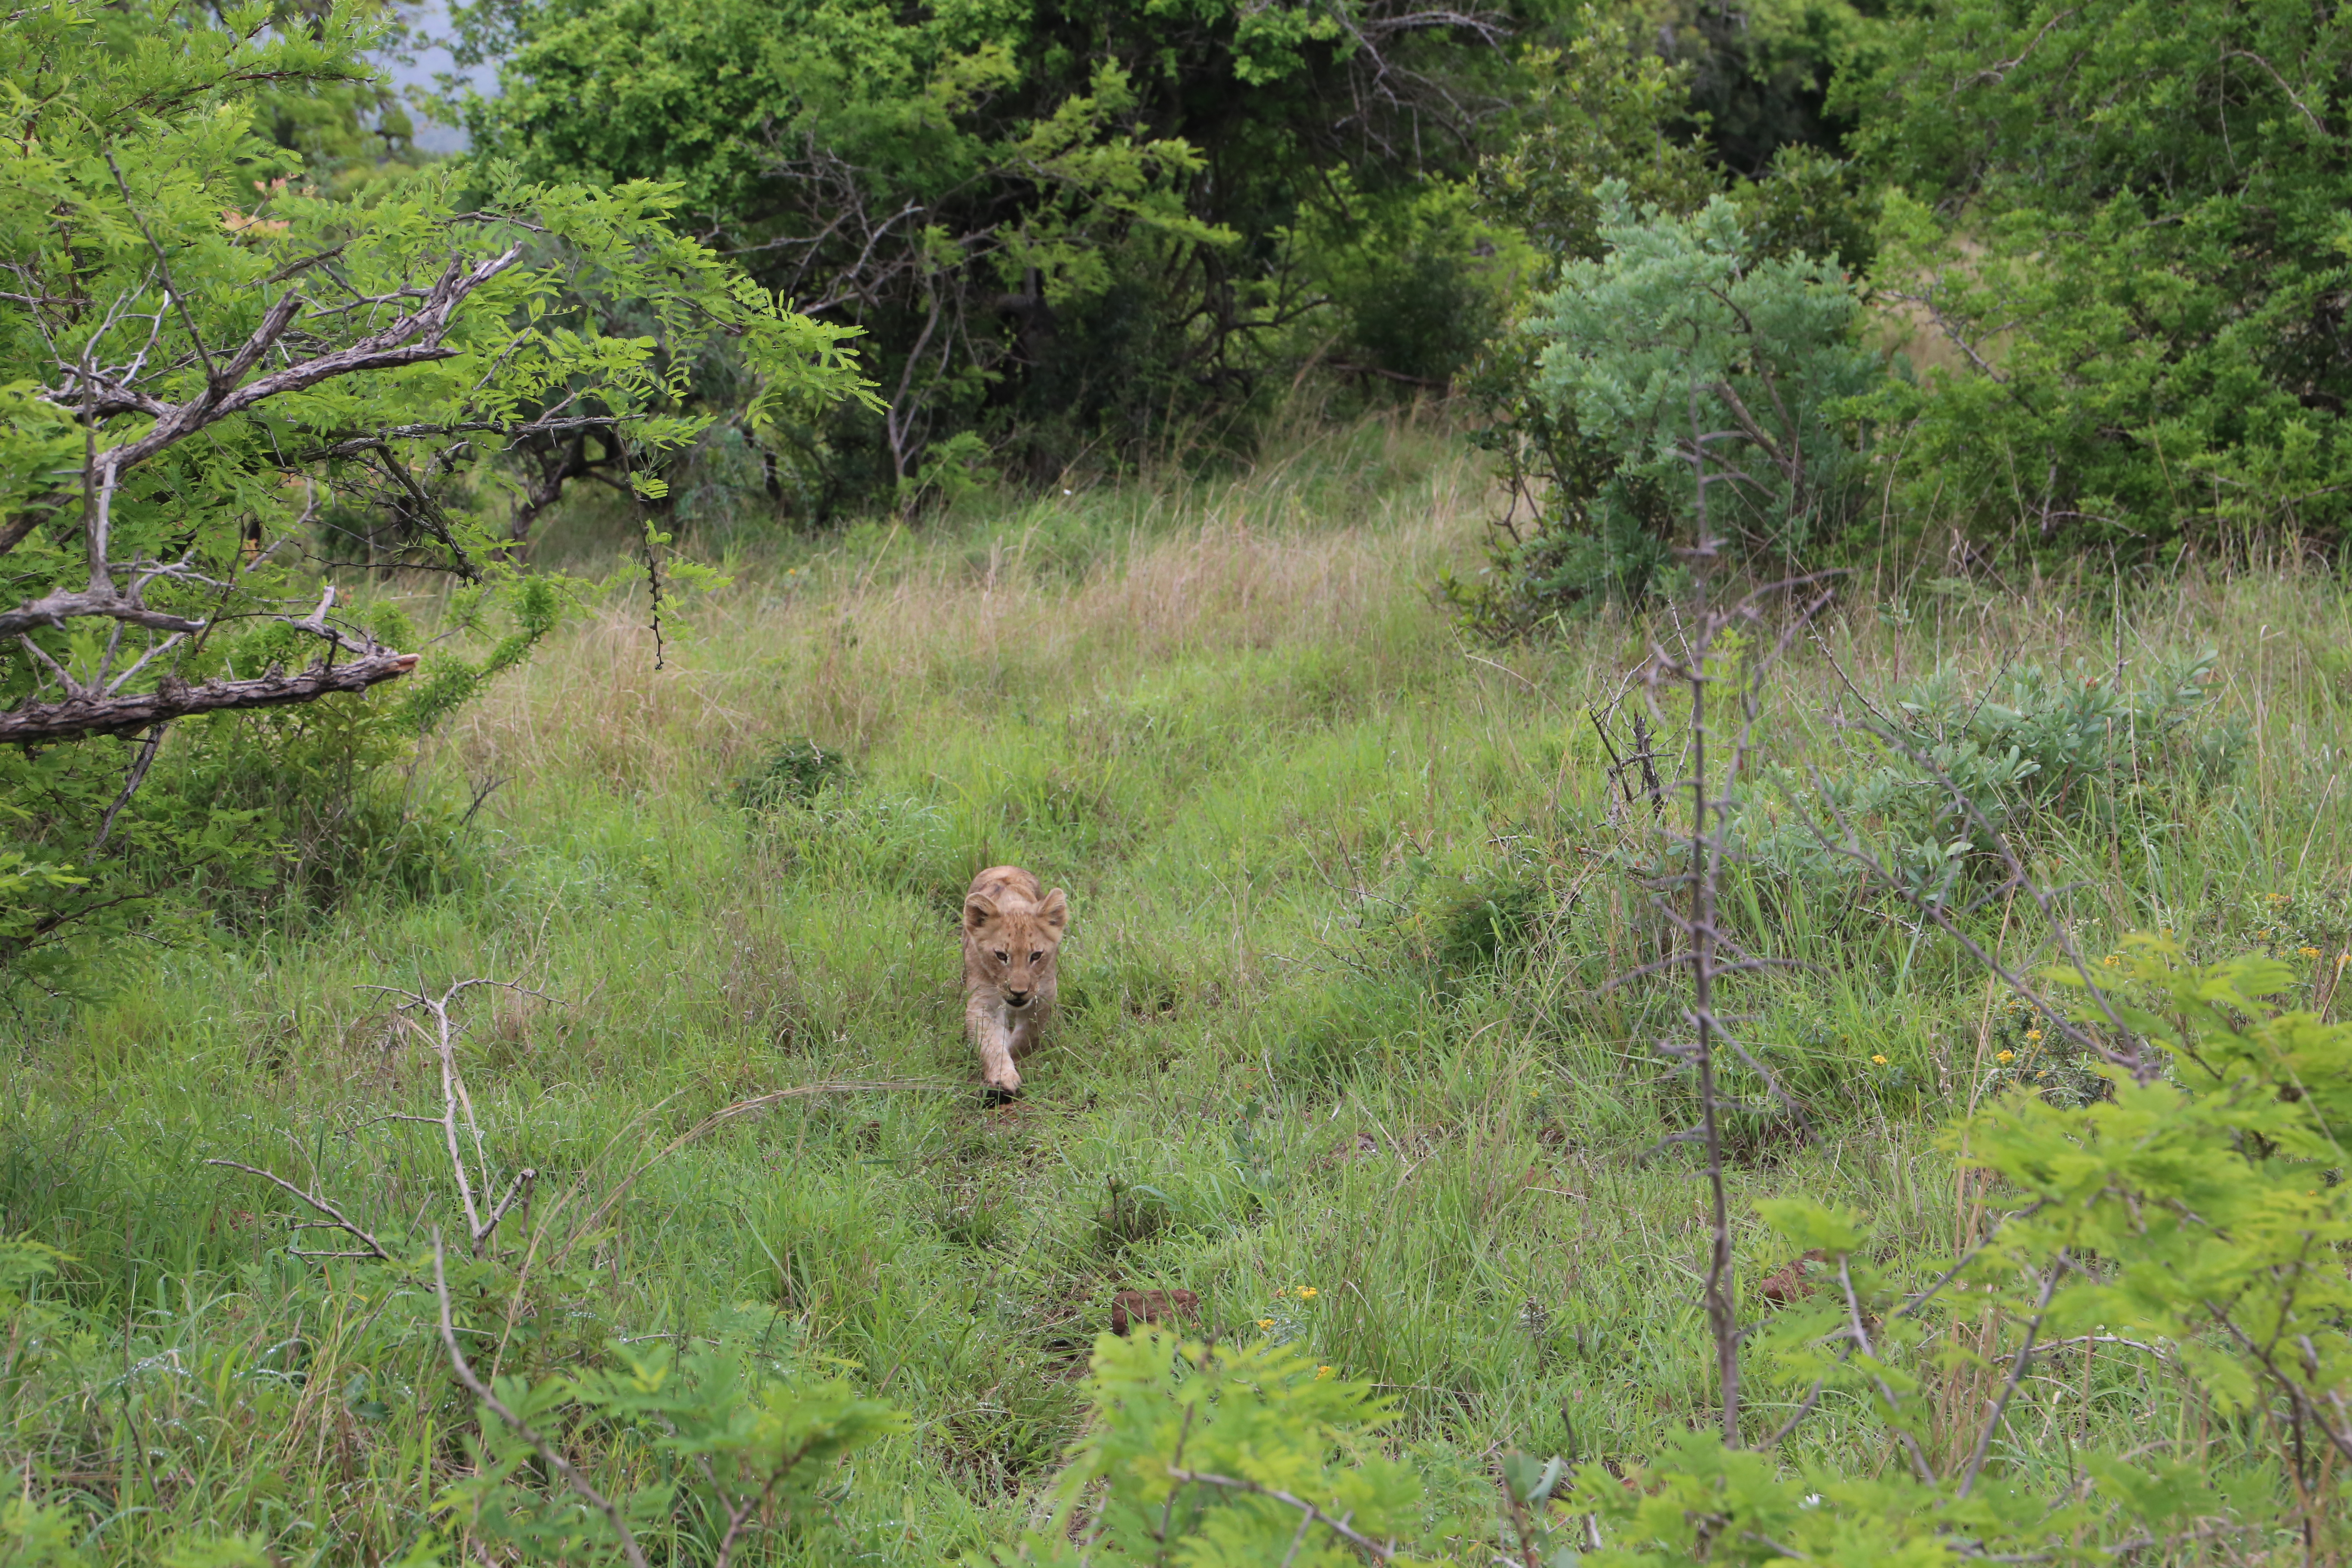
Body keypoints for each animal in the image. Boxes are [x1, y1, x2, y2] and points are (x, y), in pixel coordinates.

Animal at [962, 865, 1069, 1095]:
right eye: (1002, 956)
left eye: (1036, 956)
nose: (1018, 992)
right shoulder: (984, 999)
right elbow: (990, 1042)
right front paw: (1003, 1078)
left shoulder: (1044, 993)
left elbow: (1028, 1035)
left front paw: (1014, 1053)